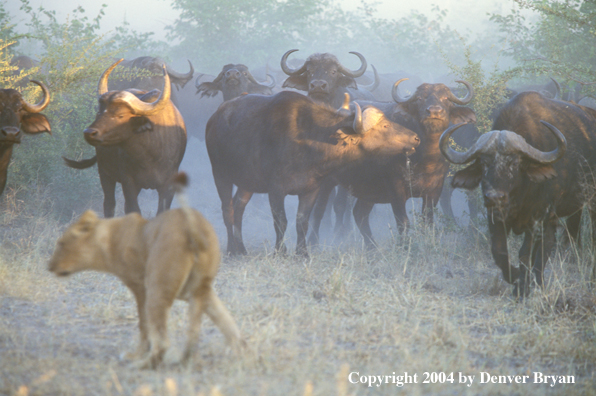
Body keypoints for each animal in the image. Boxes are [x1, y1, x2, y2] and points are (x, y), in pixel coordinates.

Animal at [63, 59, 186, 217]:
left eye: (120, 115)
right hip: (105, 173)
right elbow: (133, 209)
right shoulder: (128, 182)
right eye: (99, 112)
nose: (89, 132)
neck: (148, 154)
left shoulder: (168, 185)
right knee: (109, 204)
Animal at [207, 91, 422, 255]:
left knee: (238, 208)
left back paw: (241, 248)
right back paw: (231, 249)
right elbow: (281, 221)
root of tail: (215, 117)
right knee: (228, 210)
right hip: (220, 175)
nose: (416, 137)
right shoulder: (276, 190)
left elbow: (302, 221)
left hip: (247, 183)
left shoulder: (311, 189)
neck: (308, 140)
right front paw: (281, 252)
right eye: (385, 126)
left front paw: (302, 253)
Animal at [438, 90, 596, 296]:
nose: (494, 197)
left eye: (514, 163)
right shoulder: (495, 217)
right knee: (550, 243)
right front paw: (515, 277)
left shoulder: (537, 217)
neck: (518, 198)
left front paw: (521, 287)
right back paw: (538, 281)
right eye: (484, 163)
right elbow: (499, 252)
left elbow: (524, 252)